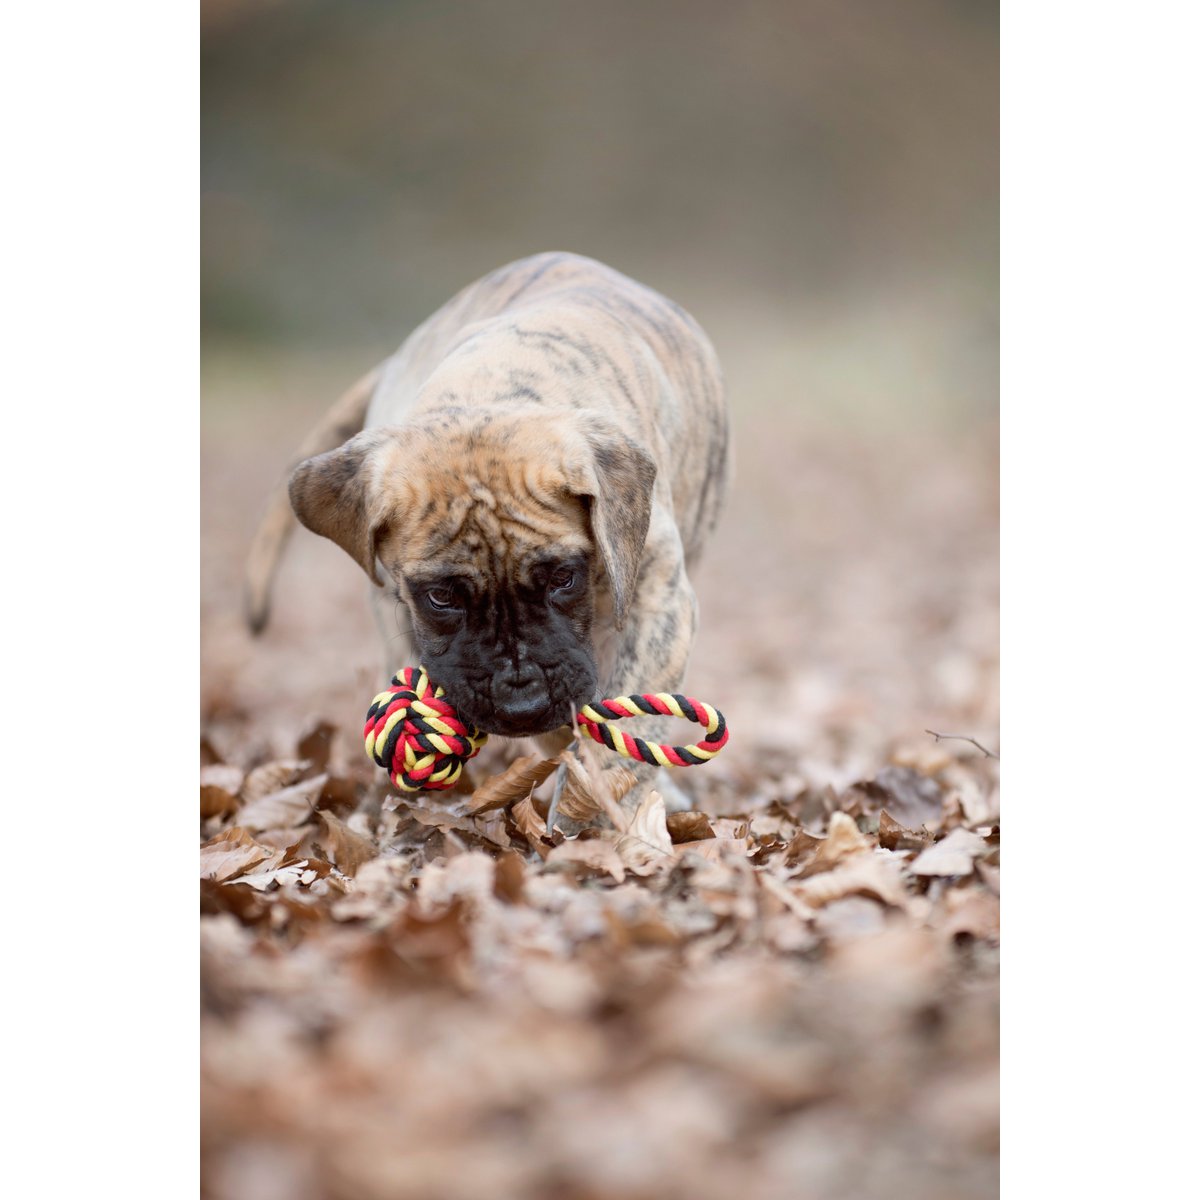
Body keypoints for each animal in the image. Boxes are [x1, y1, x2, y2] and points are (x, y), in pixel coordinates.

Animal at [248, 253, 724, 816]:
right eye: (440, 597)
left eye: (564, 578)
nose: (522, 702)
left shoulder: (657, 600)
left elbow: (622, 734)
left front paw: (595, 814)